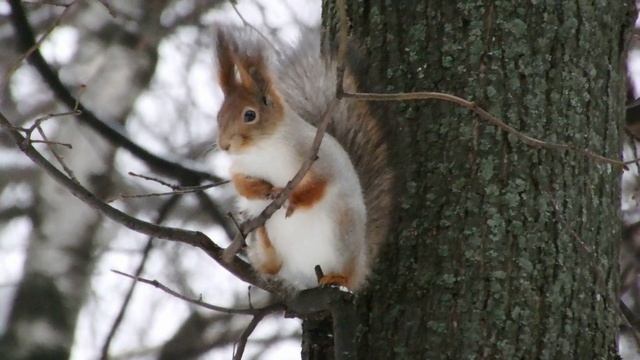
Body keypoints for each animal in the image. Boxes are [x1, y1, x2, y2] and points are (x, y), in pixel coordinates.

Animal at [216, 29, 396, 292]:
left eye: (250, 115)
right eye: (219, 116)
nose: (224, 145)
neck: (263, 149)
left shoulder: (317, 158)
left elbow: (319, 185)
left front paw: (291, 199)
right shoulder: (240, 167)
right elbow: (241, 185)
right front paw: (263, 190)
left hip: (342, 233)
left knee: (348, 276)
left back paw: (338, 278)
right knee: (273, 267)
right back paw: (262, 236)